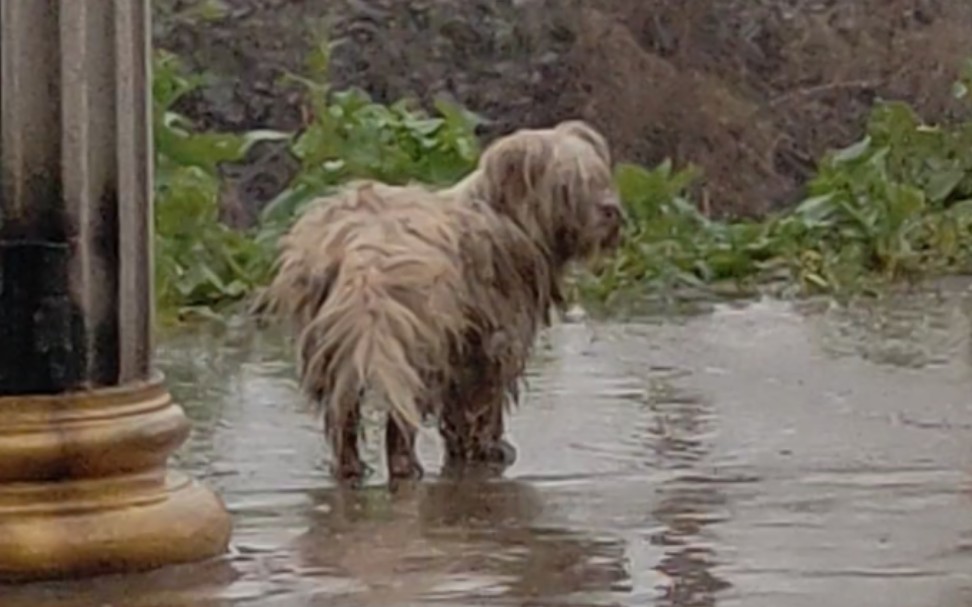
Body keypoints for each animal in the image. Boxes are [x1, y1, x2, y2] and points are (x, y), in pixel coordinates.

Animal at [256, 121, 624, 486]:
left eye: (600, 177)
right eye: (567, 186)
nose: (612, 211)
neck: (506, 217)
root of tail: (365, 254)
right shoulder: (492, 345)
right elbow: (482, 406)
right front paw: (487, 450)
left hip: (332, 345)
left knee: (344, 414)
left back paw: (350, 469)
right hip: (415, 343)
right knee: (400, 420)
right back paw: (407, 469)